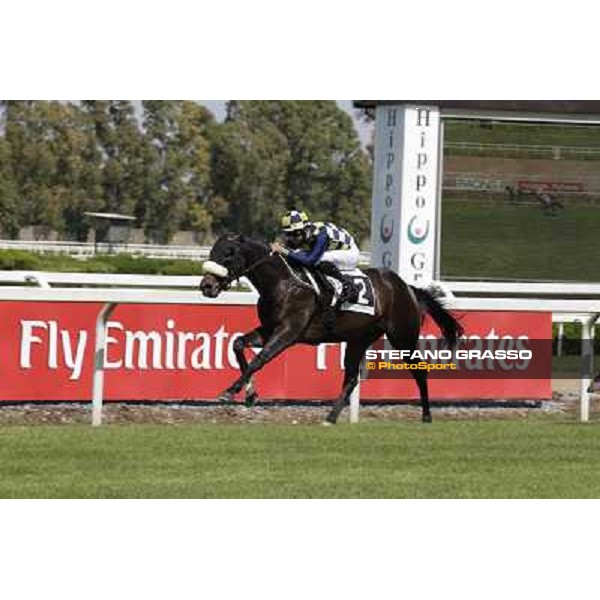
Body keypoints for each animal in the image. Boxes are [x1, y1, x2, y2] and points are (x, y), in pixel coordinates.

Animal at [202, 232, 464, 424]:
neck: (282, 283)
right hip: (359, 339)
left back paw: (427, 415)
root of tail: (407, 287)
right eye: (212, 251)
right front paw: (249, 393)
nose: (206, 286)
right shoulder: (270, 328)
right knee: (351, 378)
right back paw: (330, 417)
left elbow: (261, 359)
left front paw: (231, 390)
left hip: (403, 336)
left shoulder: (288, 332)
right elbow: (238, 344)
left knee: (419, 370)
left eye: (229, 254)